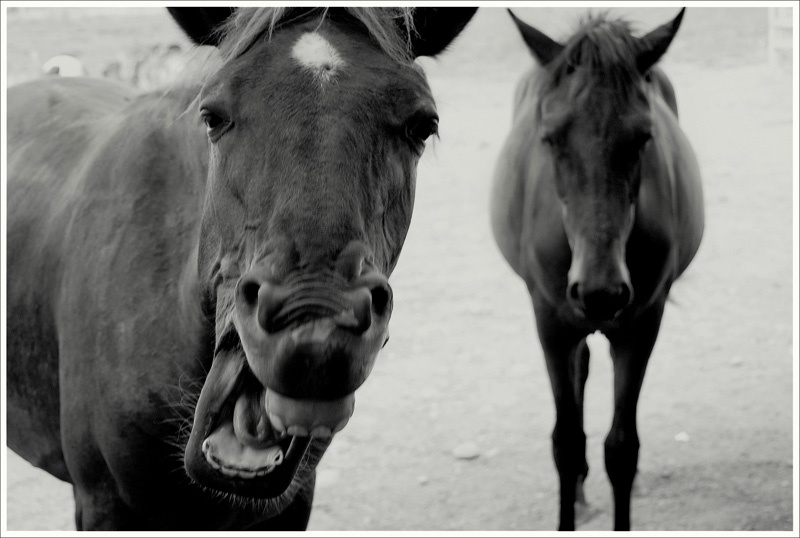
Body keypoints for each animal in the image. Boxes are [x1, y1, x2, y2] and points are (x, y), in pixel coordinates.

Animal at [490, 8, 704, 531]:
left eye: (644, 137)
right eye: (550, 138)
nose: (600, 292)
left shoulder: (642, 325)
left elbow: (622, 448)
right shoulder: (550, 322)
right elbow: (566, 444)